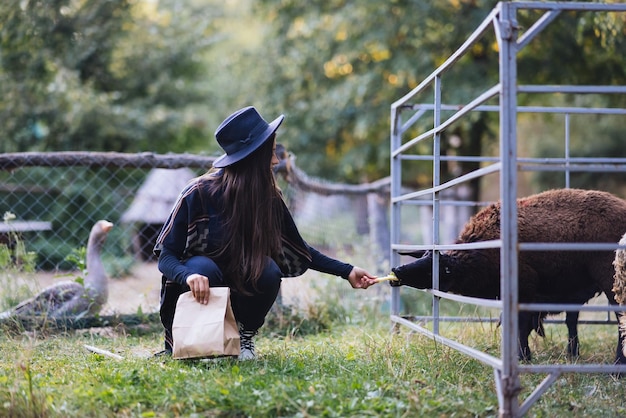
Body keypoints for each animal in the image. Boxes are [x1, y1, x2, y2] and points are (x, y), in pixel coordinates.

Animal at [390, 188, 624, 364]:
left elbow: (521, 325)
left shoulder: (524, 290)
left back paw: (616, 363)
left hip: (611, 278)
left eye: (434, 269)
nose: (396, 271)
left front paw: (522, 357)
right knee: (574, 320)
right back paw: (574, 355)